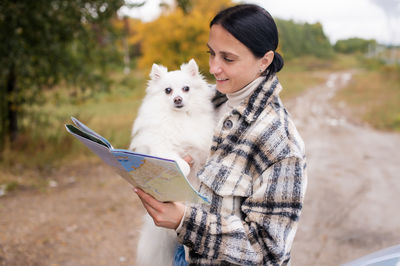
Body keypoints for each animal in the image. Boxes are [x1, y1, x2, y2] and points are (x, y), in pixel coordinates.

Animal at [130, 59, 216, 264]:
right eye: (168, 90)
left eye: (186, 88)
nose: (177, 99)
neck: (179, 118)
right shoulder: (159, 145)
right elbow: (179, 161)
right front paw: (182, 170)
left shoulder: (201, 149)